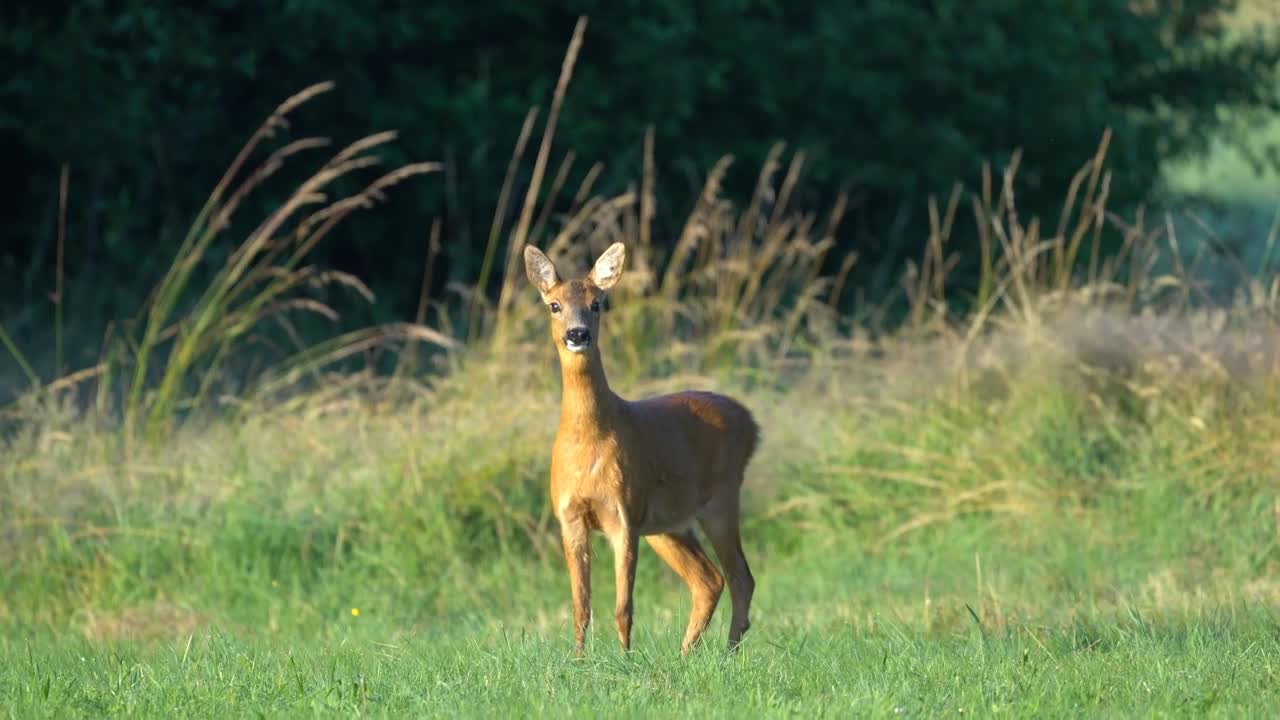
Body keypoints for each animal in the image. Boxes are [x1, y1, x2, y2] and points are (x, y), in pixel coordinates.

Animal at [527, 240, 762, 655]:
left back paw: (727, 653)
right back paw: (686, 655)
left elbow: (624, 607)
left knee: (740, 577)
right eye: (554, 305)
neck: (588, 443)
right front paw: (578, 660)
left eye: (598, 303)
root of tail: (750, 422)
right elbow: (580, 606)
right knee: (709, 579)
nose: (577, 333)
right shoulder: (570, 516)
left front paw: (625, 659)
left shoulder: (624, 513)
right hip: (668, 524)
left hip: (720, 498)